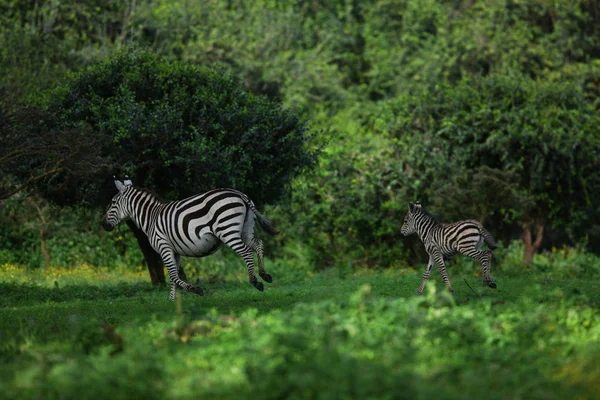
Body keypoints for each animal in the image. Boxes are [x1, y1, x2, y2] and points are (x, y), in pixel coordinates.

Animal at [102, 177, 278, 300]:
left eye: (112, 202)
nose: (104, 226)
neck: (151, 218)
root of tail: (239, 194)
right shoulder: (174, 251)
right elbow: (173, 277)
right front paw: (172, 303)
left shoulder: (163, 246)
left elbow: (174, 276)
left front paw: (196, 290)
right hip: (245, 229)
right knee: (258, 244)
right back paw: (265, 274)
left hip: (227, 230)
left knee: (246, 252)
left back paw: (255, 281)